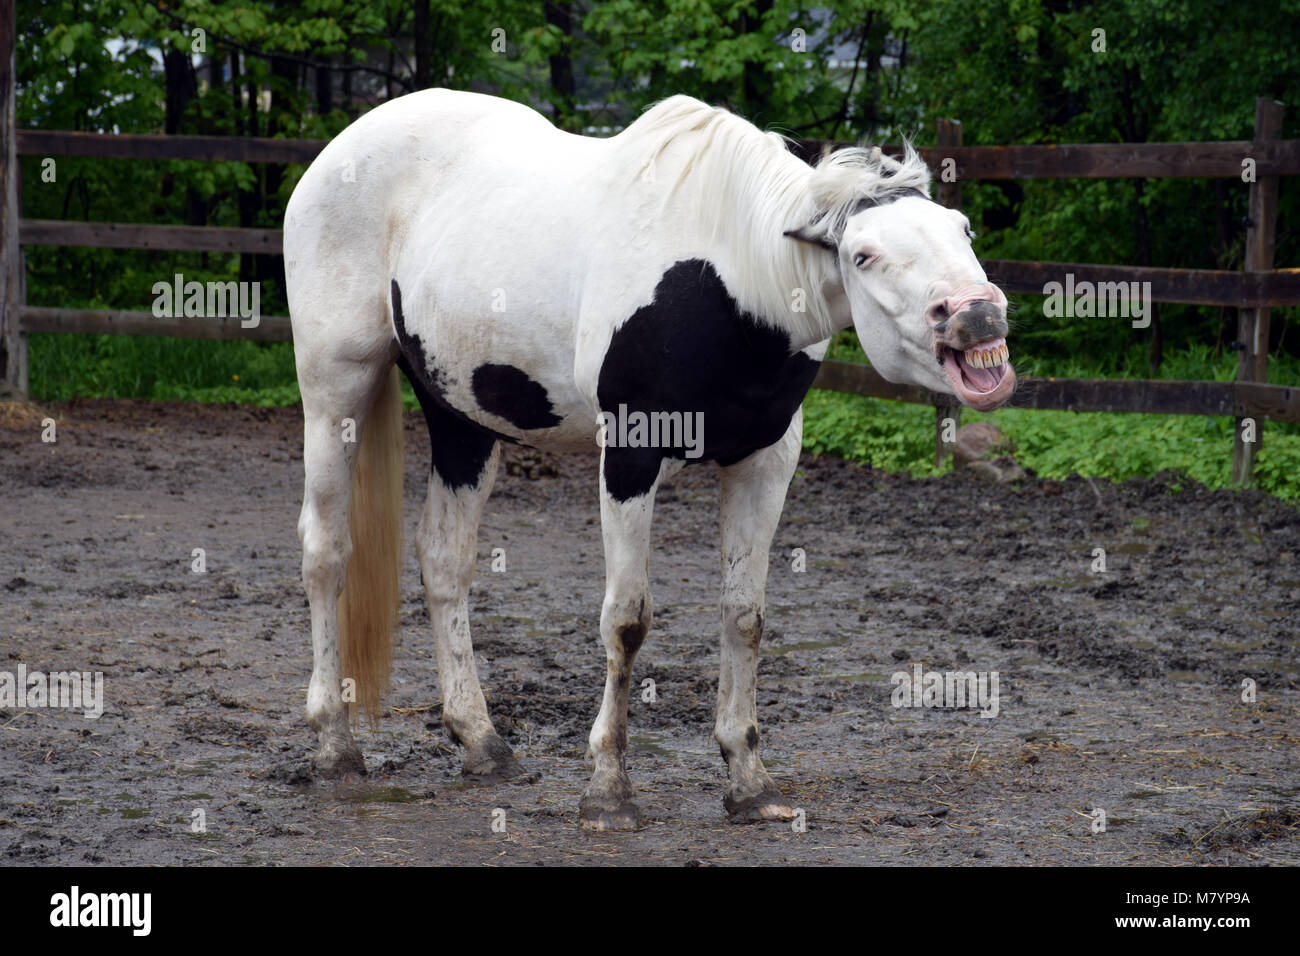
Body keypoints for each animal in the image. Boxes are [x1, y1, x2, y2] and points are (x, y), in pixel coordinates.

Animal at [284, 89, 1013, 832]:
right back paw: (334, 746)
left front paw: (749, 781)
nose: (978, 316)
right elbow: (627, 621)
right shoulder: (631, 457)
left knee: (443, 559)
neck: (732, 275)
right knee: (326, 552)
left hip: (461, 417)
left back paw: (481, 740)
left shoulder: (766, 462)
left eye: (962, 230)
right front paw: (608, 789)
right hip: (336, 388)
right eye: (863, 255)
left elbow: (744, 616)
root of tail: (342, 150)